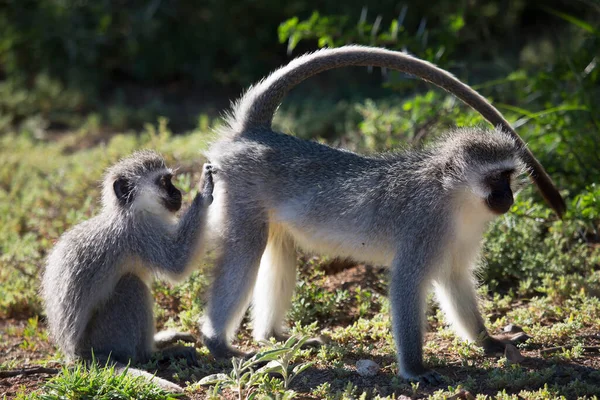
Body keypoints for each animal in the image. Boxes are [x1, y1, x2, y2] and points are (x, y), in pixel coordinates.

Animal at [40, 152, 213, 392]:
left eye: (170, 180)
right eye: (164, 182)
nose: (178, 193)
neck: (129, 212)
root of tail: (78, 356)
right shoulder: (141, 233)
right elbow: (177, 262)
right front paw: (205, 189)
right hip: (105, 337)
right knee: (131, 285)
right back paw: (154, 353)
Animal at [200, 43, 564, 382]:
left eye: (508, 176)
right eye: (494, 179)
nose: (508, 197)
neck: (454, 198)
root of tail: (256, 134)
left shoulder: (463, 236)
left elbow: (455, 278)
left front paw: (487, 341)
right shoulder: (424, 227)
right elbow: (406, 282)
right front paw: (415, 370)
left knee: (280, 248)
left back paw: (271, 335)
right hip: (240, 193)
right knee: (246, 249)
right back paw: (217, 343)